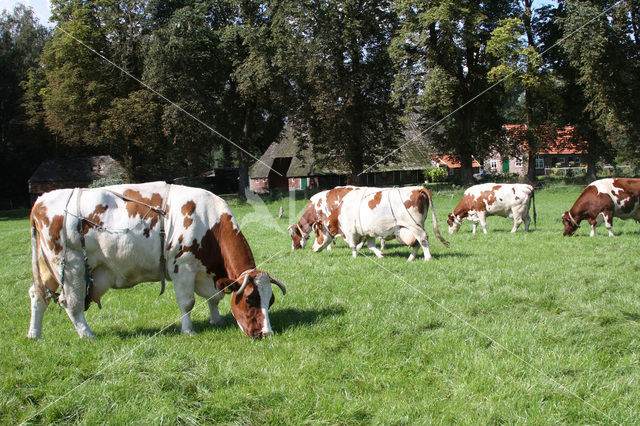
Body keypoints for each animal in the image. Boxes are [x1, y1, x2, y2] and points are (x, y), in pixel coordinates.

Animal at [28, 182, 284, 340]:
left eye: (270, 301)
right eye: (250, 300)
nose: (266, 333)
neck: (209, 223)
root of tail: (41, 201)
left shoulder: (208, 273)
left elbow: (214, 297)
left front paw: (216, 319)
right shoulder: (183, 267)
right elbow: (187, 302)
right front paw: (188, 331)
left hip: (47, 268)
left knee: (38, 295)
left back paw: (35, 334)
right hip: (71, 267)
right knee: (71, 303)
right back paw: (87, 335)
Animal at [312, 186, 448, 262]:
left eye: (317, 233)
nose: (313, 248)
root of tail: (419, 188)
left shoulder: (350, 232)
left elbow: (353, 246)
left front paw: (354, 257)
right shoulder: (369, 233)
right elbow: (371, 246)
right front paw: (381, 255)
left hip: (414, 225)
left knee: (423, 239)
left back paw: (427, 258)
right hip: (414, 226)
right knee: (417, 242)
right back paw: (410, 258)